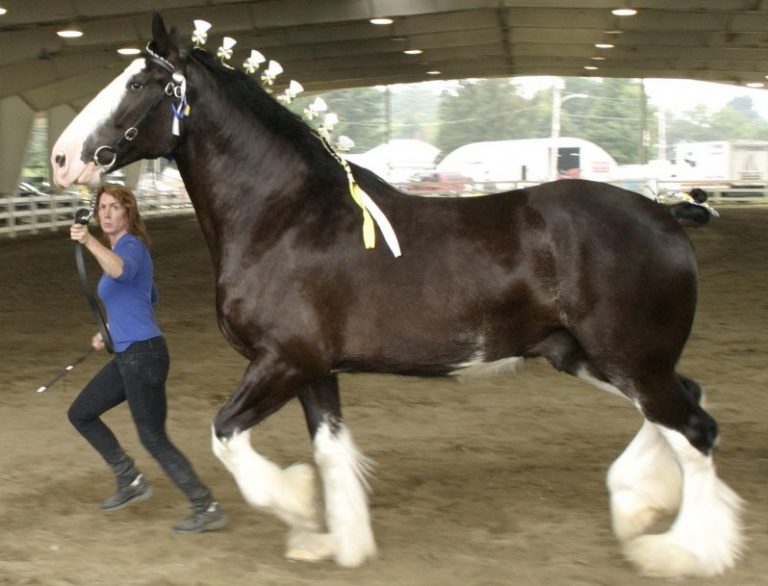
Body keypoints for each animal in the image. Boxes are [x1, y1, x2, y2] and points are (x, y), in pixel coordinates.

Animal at [50, 14, 743, 578]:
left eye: (139, 84)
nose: (59, 159)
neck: (286, 218)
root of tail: (666, 214)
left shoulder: (283, 361)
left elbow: (227, 437)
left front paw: (298, 507)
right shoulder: (313, 370)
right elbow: (330, 453)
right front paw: (336, 543)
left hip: (629, 358)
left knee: (695, 430)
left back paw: (685, 551)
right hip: (587, 355)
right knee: (684, 406)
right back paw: (638, 507)